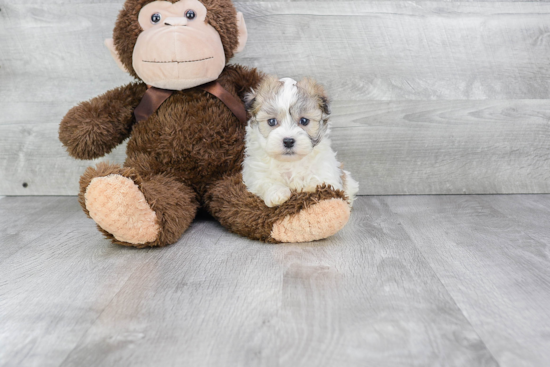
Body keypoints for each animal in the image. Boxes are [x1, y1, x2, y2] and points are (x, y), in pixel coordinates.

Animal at [244, 76, 360, 208]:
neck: (291, 162)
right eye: (272, 121)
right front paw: (277, 193)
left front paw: (313, 187)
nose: (288, 141)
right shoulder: (255, 171)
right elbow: (265, 181)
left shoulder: (326, 168)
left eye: (304, 121)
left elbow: (323, 181)